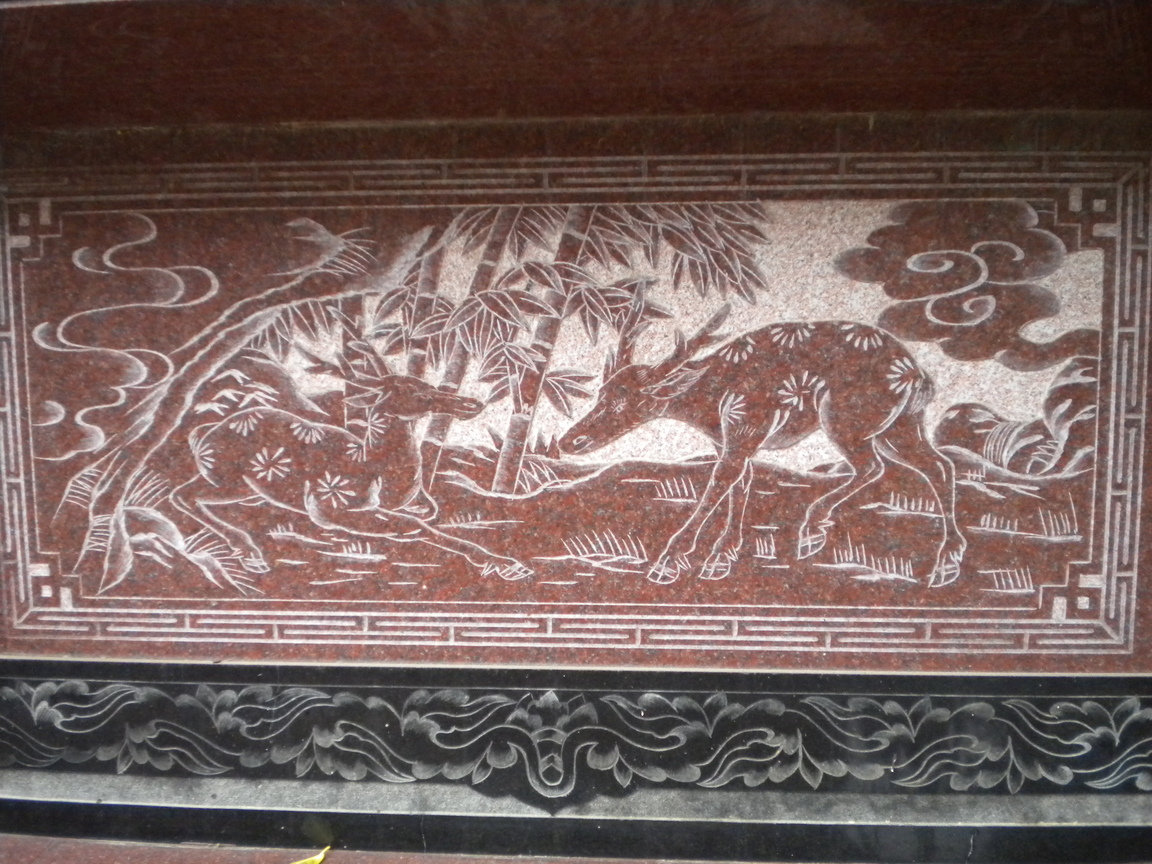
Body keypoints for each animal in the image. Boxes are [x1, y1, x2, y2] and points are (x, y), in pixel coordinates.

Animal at [170, 361, 533, 587]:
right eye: (419, 394)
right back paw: (251, 555)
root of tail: (201, 435)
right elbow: (414, 525)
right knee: (181, 495)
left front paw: (509, 564)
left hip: (245, 486)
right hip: (227, 478)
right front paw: (508, 565)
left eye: (430, 384)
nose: (473, 404)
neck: (372, 468)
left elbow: (426, 516)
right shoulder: (329, 506)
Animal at [558, 304, 966, 586]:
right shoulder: (731, 439)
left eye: (629, 403)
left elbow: (720, 484)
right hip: (899, 424)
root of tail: (918, 374)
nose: (569, 440)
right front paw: (721, 560)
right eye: (602, 393)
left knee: (873, 466)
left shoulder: (745, 427)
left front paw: (667, 563)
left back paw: (812, 531)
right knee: (938, 465)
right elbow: (742, 484)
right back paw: (946, 564)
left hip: (848, 419)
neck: (709, 401)